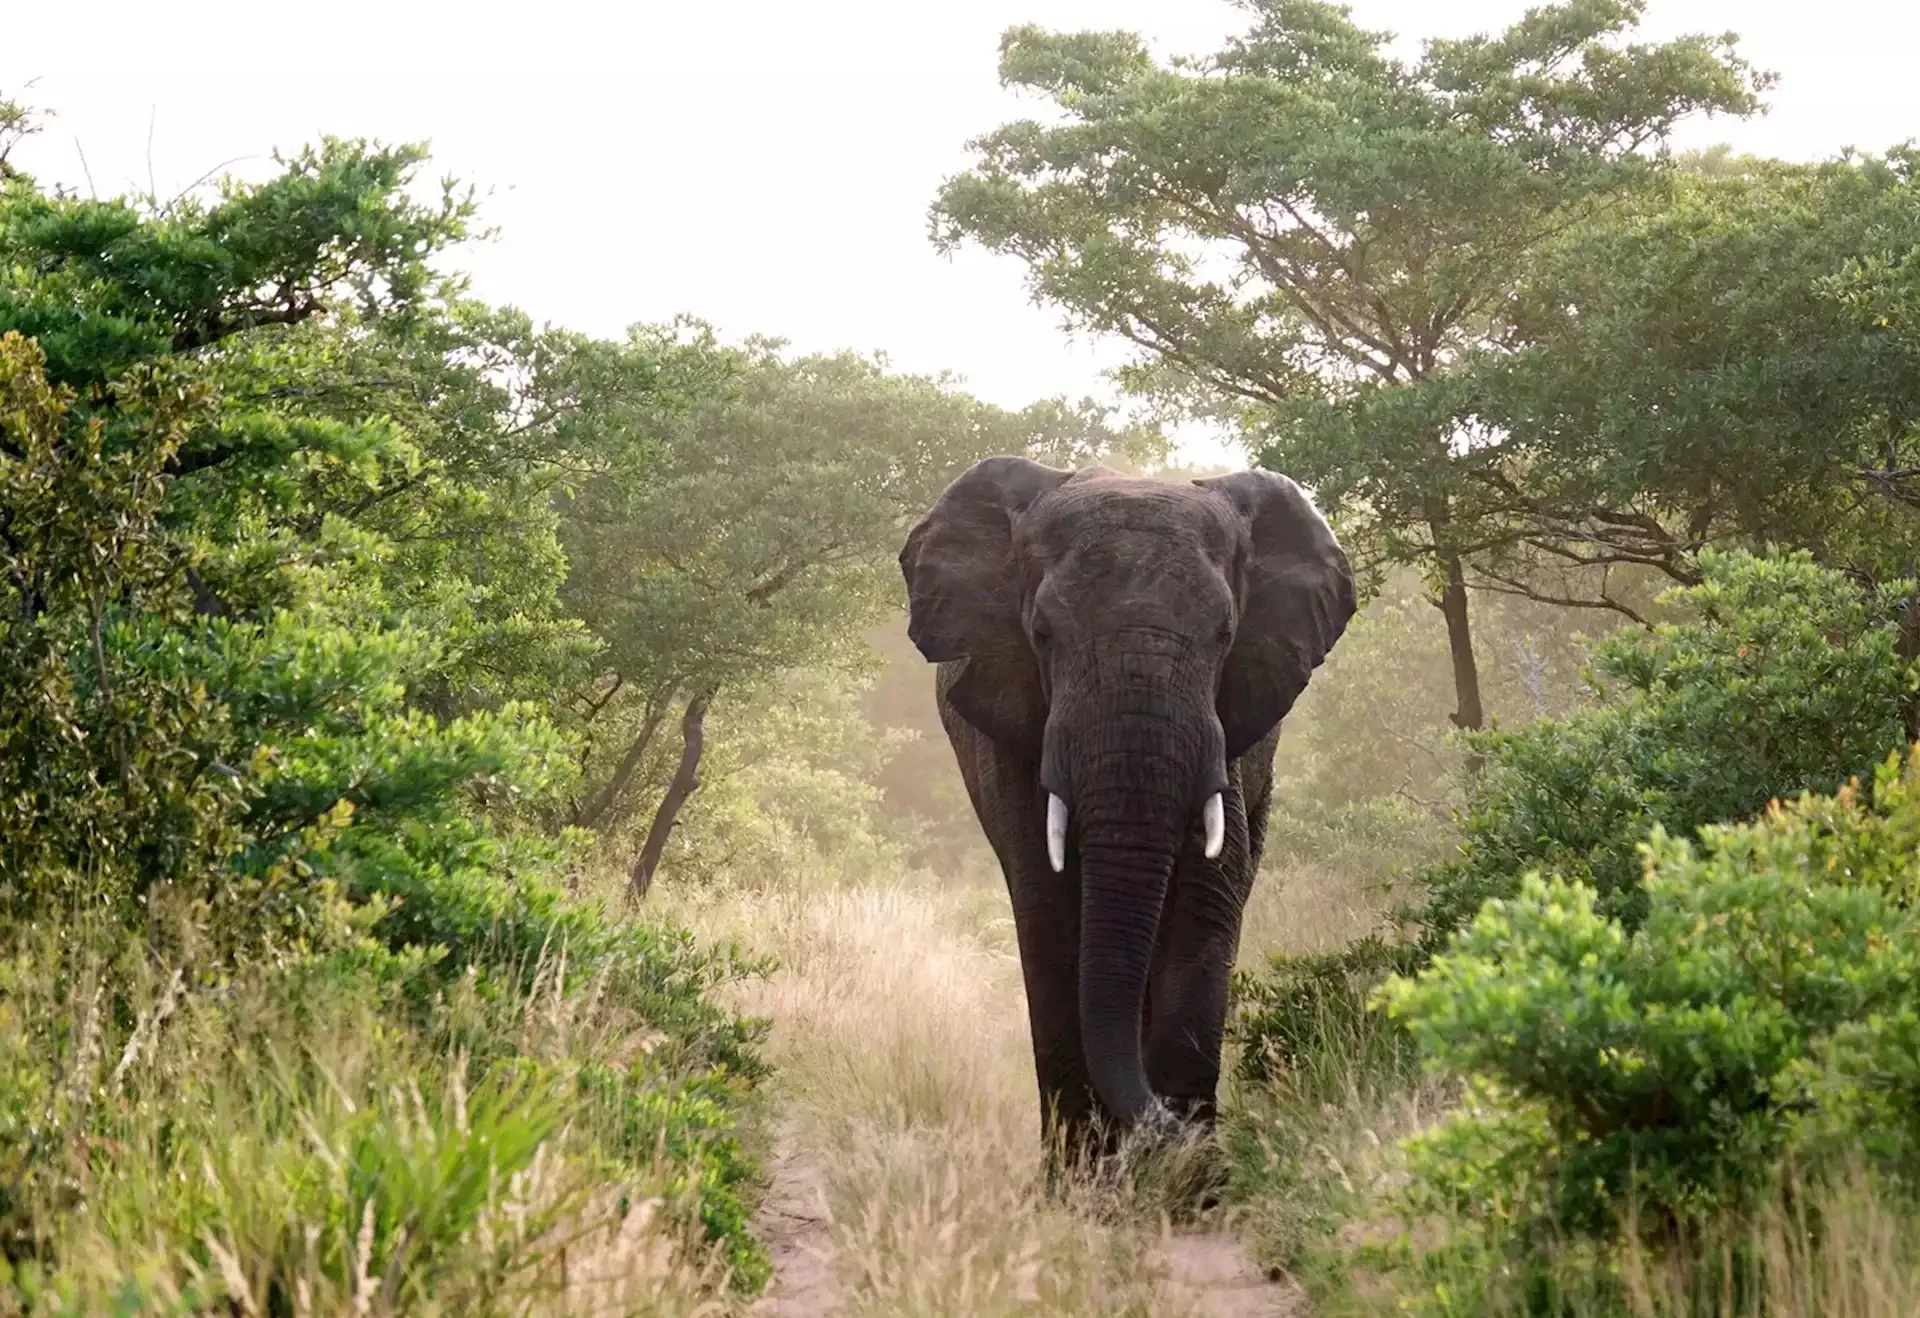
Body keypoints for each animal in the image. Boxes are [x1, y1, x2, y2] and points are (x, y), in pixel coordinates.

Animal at [898, 458, 1356, 1160]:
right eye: (1041, 635)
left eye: (1226, 635)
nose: (1191, 1135)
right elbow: (1047, 907)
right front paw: (1085, 1175)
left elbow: (1206, 897)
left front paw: (1184, 1174)